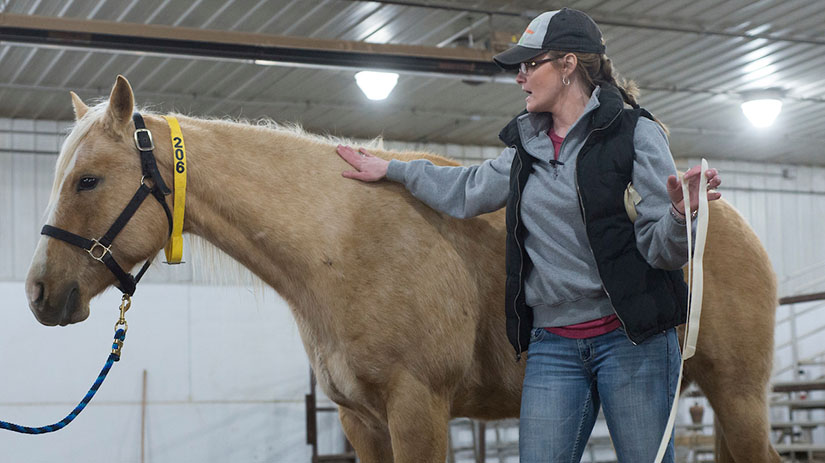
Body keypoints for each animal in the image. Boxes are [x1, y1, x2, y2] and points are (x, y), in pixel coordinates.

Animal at [22, 77, 776, 463]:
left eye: (88, 180)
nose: (39, 292)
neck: (339, 242)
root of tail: (731, 224)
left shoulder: (418, 409)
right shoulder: (363, 422)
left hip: (738, 397)